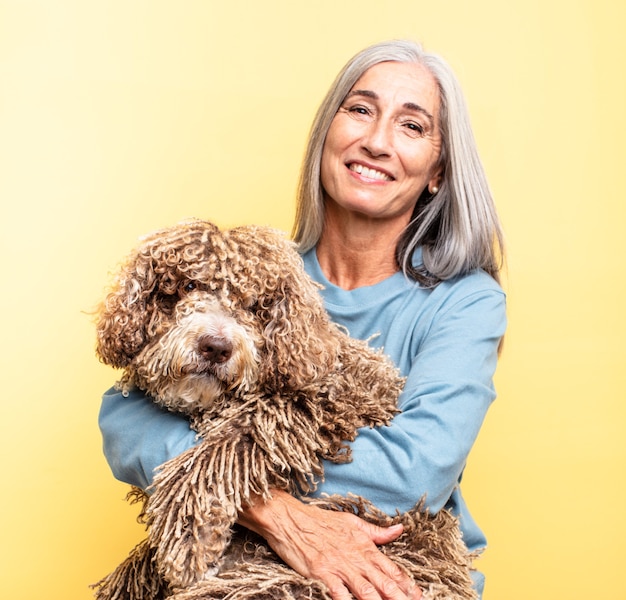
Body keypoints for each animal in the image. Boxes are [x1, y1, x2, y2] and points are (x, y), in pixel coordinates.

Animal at [92, 220, 476, 600]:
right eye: (189, 285)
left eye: (254, 305)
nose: (216, 347)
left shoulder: (324, 402)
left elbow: (229, 441)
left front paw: (190, 533)